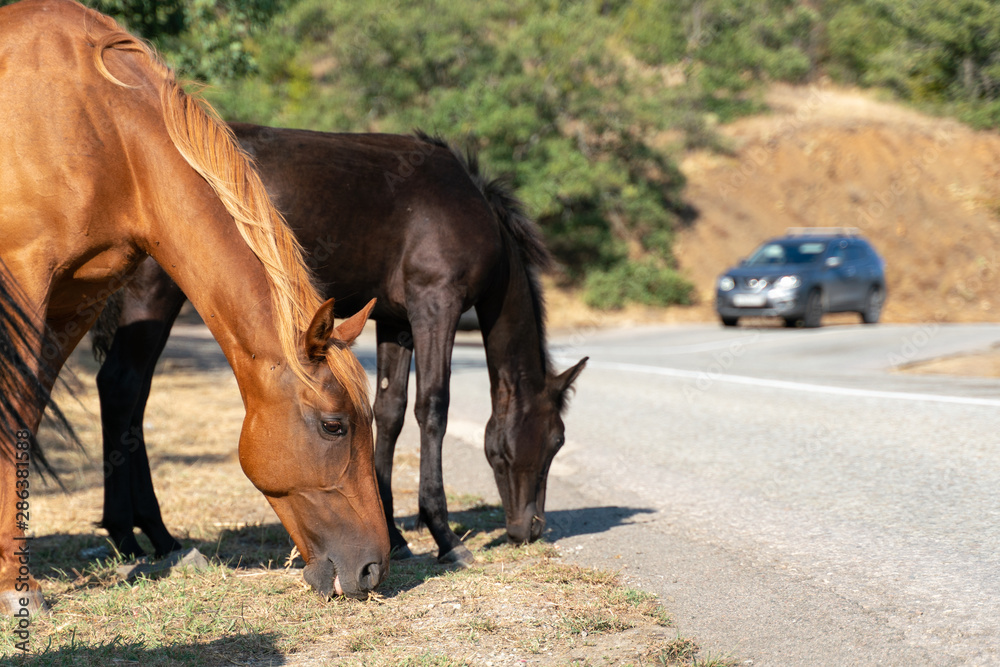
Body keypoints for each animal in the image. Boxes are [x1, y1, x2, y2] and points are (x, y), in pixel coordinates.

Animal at [0, 0, 389, 612]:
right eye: (334, 426)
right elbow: (13, 410)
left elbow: (28, 414)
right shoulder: (23, 280)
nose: (374, 569)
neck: (101, 129)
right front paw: (13, 586)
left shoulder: (74, 299)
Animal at [90, 123, 588, 565]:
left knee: (134, 396)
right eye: (556, 440)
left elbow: (389, 411)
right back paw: (133, 533)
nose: (530, 529)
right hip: (155, 292)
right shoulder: (436, 304)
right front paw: (444, 536)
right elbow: (432, 407)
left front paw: (396, 536)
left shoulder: (395, 319)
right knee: (121, 385)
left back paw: (152, 534)